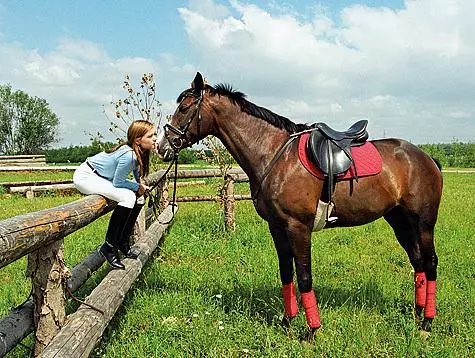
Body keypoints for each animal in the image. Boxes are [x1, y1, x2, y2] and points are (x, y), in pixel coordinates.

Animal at [158, 71, 444, 338]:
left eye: (185, 108)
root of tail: (426, 158)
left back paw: (428, 322)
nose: (163, 148)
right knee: (417, 261)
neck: (275, 154)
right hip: (399, 220)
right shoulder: (277, 226)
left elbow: (305, 276)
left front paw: (312, 330)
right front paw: (287, 321)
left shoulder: (298, 227)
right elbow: (286, 272)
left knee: (429, 262)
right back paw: (417, 314)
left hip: (423, 222)